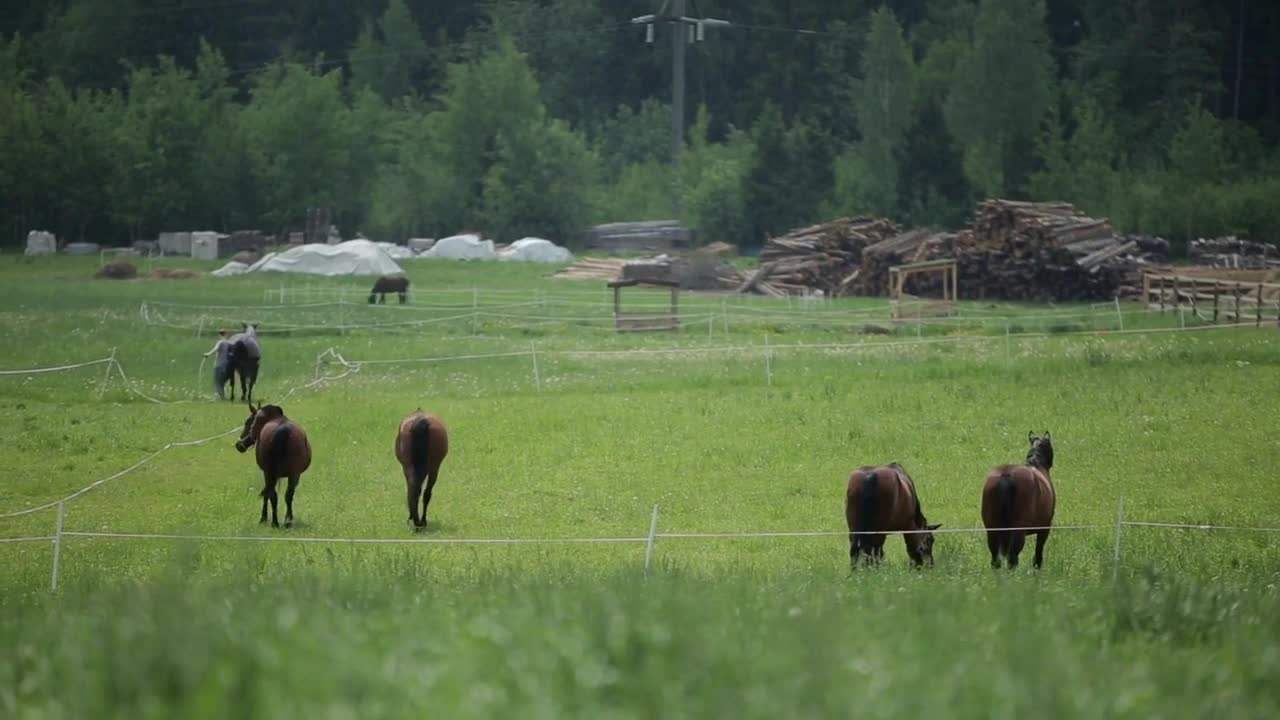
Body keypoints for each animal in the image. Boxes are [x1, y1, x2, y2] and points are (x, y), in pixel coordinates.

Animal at [232, 397, 309, 527]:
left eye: (248, 422)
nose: (239, 445)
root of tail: (283, 430)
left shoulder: (267, 473)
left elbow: (266, 493)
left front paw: (263, 517)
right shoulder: (291, 474)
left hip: (273, 473)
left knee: (274, 494)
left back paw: (276, 522)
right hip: (291, 474)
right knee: (287, 495)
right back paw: (285, 521)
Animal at [977, 430, 1059, 566]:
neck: (1037, 465)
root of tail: (1006, 474)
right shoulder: (1044, 528)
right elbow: (1038, 555)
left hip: (992, 530)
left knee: (996, 560)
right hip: (1018, 532)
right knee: (1012, 559)